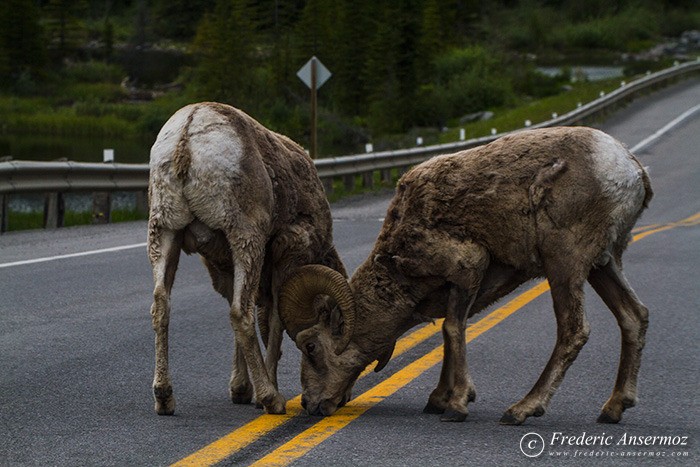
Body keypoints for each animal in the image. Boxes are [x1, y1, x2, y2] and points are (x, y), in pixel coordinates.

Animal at [148, 103, 348, 416]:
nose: (342, 399)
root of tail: (188, 135)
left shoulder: (223, 264)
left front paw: (240, 389)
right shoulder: (286, 257)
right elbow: (275, 321)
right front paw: (259, 394)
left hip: (165, 231)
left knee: (161, 306)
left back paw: (164, 398)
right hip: (246, 237)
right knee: (240, 314)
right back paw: (271, 399)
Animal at [278, 127, 652, 424]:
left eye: (310, 346)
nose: (310, 405)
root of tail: (630, 169)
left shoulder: (468, 268)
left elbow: (452, 329)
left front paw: (456, 405)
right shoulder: (457, 289)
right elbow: (449, 332)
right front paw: (438, 400)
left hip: (565, 262)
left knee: (574, 331)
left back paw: (521, 410)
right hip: (603, 264)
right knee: (634, 316)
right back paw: (613, 409)